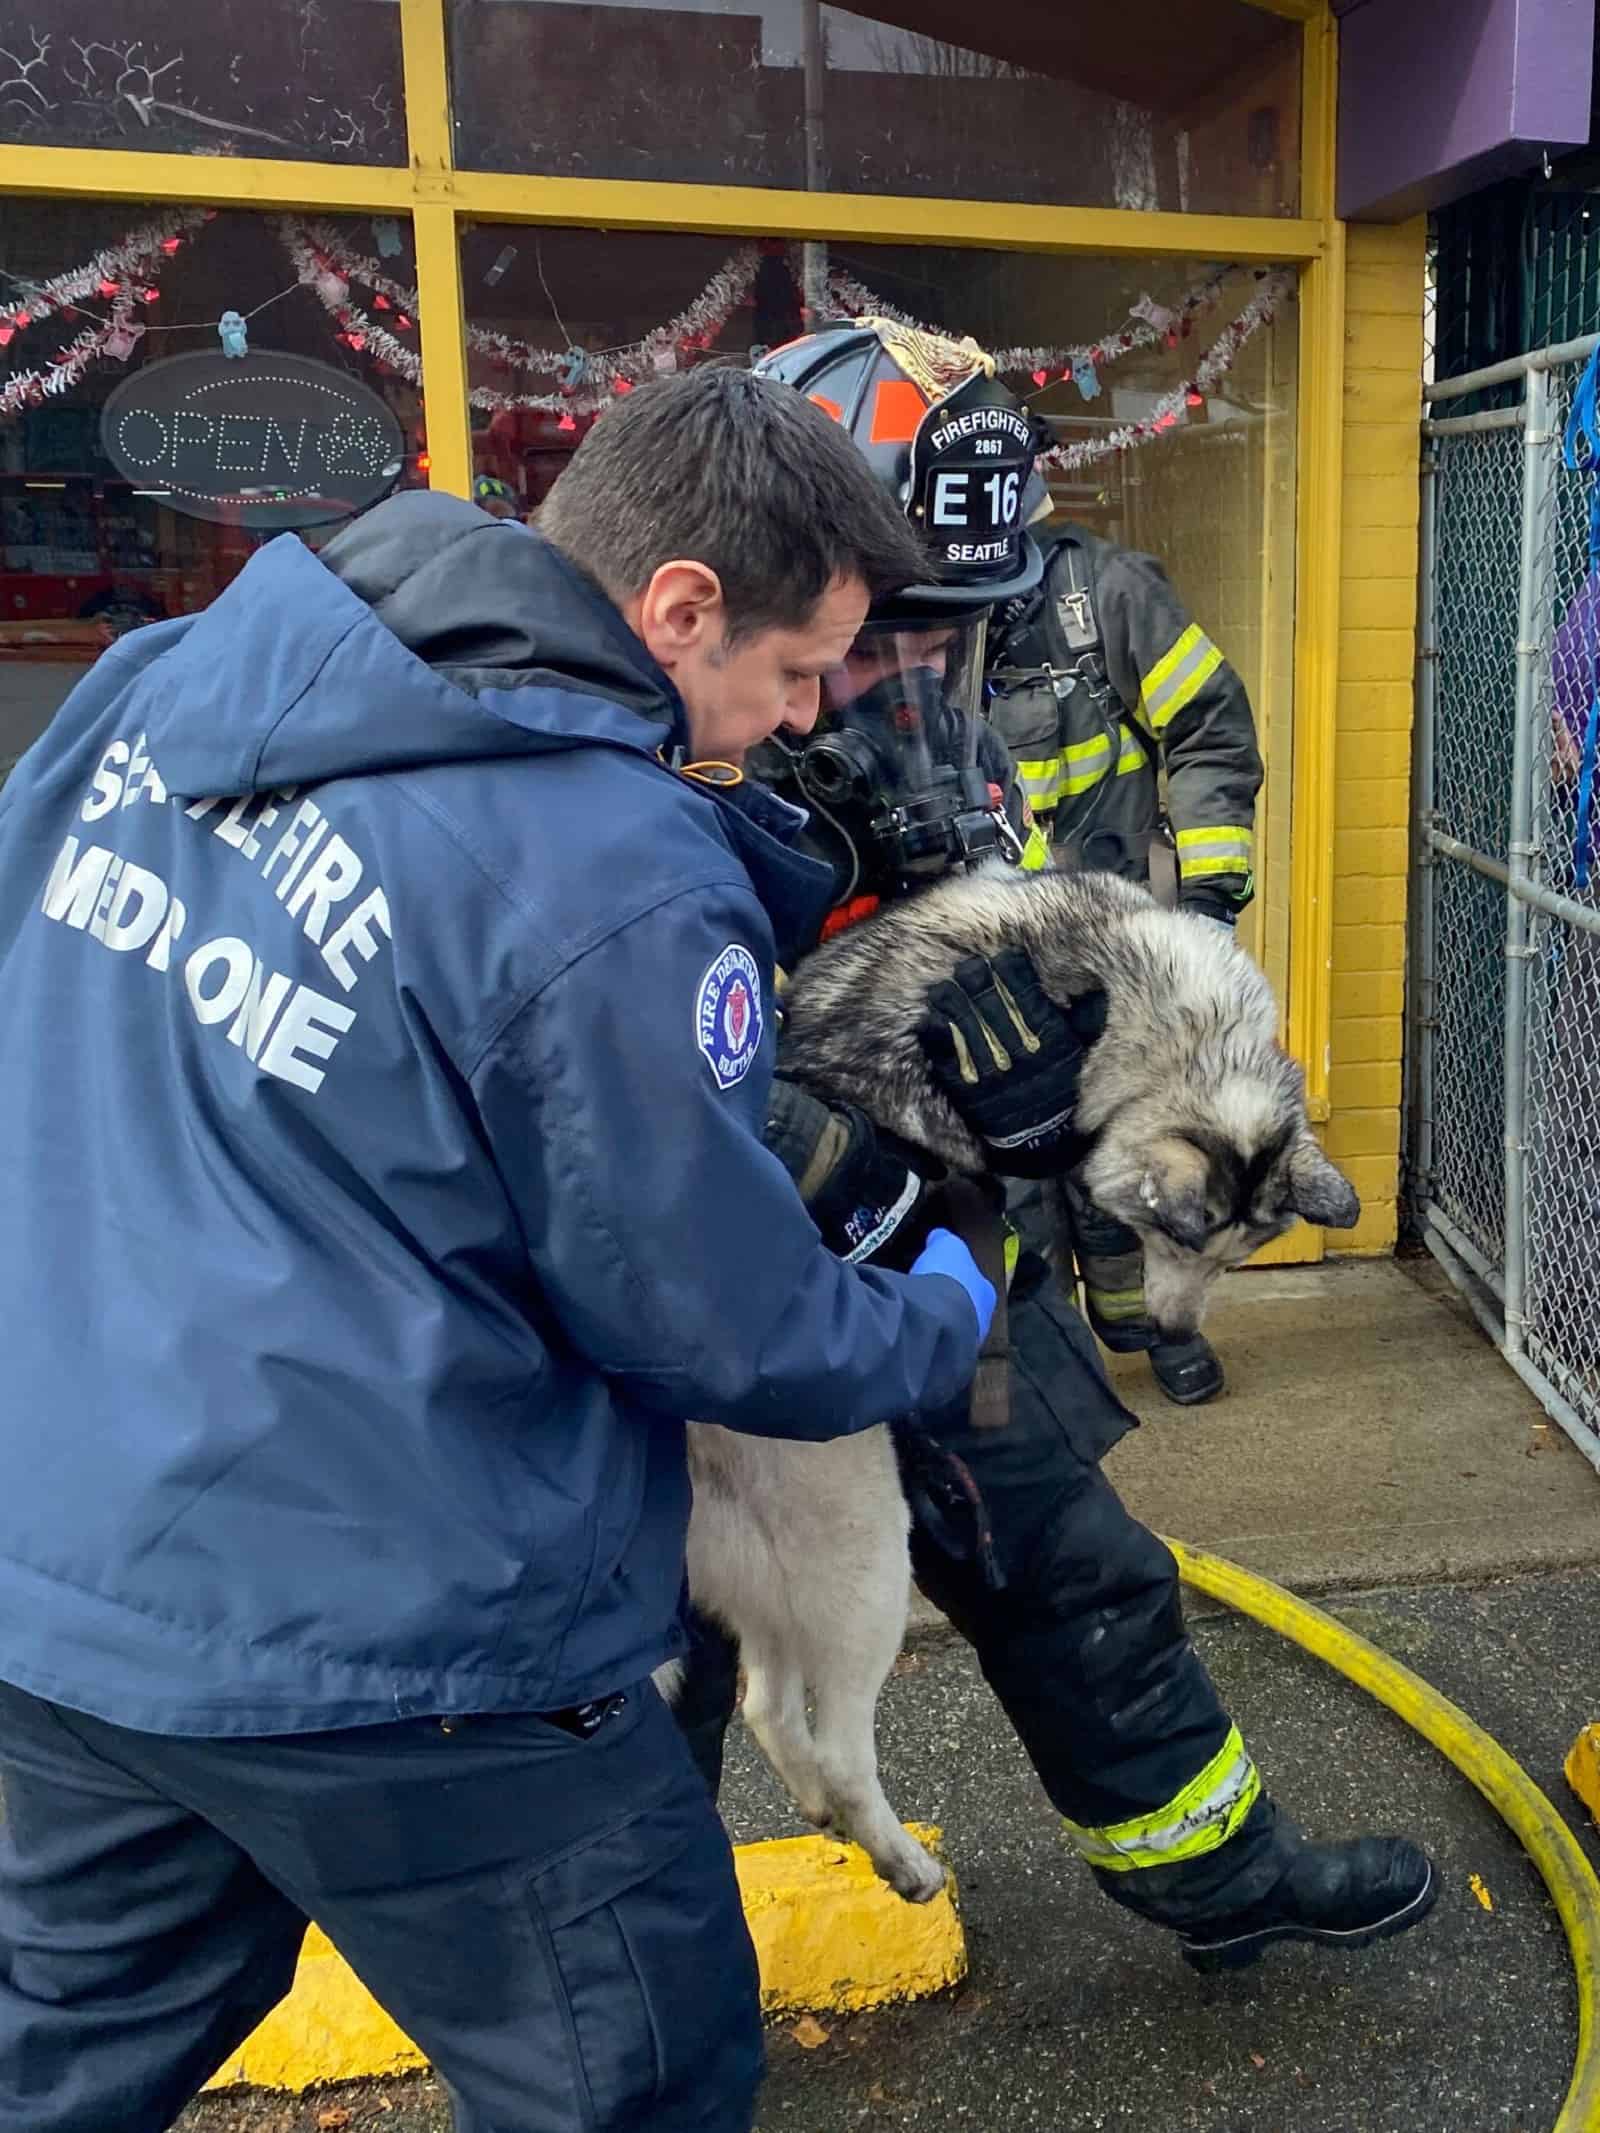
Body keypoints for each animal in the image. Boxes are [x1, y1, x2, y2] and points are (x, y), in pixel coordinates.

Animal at [682, 865, 1356, 1902]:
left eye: (1230, 1259)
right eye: (1172, 1238)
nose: (1171, 1330)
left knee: (765, 1706)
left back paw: (824, 1813)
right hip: (866, 1558)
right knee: (838, 1741)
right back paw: (904, 1860)